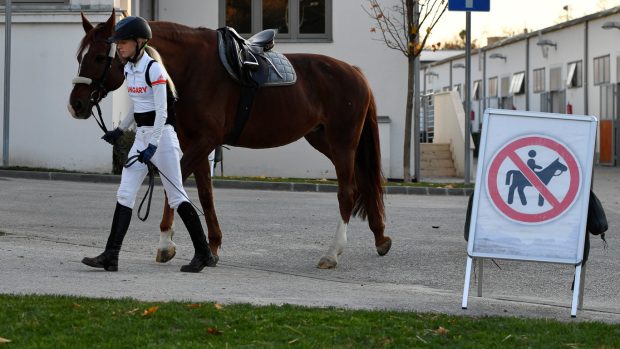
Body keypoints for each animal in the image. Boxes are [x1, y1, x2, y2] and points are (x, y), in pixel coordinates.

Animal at [69, 10, 392, 266]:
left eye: (100, 57)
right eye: (79, 56)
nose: (76, 105)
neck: (192, 68)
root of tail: (355, 72)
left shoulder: (204, 141)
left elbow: (173, 187)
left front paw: (166, 243)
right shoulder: (196, 143)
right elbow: (204, 194)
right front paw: (211, 246)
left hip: (342, 142)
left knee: (347, 192)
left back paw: (332, 253)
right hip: (325, 141)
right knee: (364, 183)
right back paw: (380, 238)